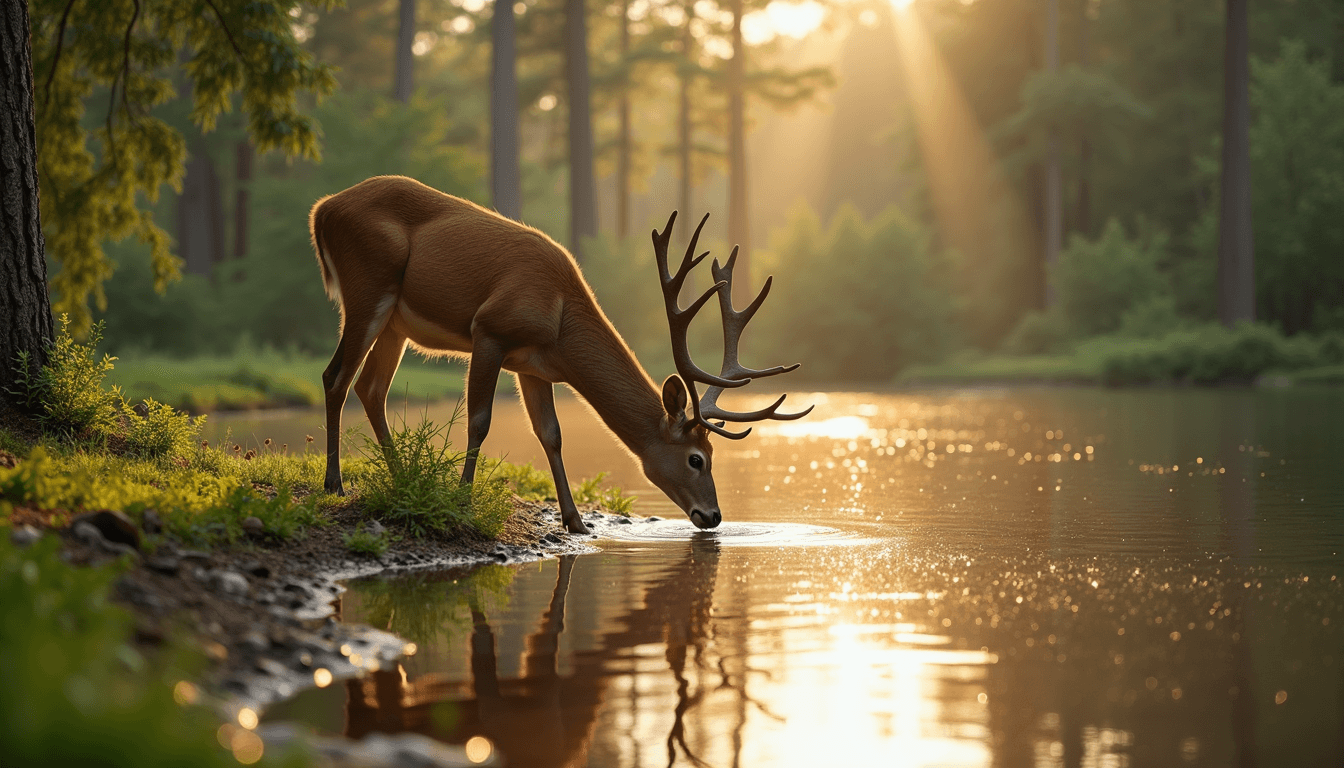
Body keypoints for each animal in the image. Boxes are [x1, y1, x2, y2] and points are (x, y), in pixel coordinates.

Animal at [309, 175, 810, 534]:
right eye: (696, 458)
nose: (714, 516)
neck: (560, 320)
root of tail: (322, 209)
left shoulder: (534, 368)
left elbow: (551, 434)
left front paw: (576, 521)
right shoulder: (489, 330)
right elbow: (480, 420)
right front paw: (463, 501)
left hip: (394, 323)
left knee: (370, 387)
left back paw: (397, 477)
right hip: (368, 283)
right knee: (335, 376)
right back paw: (334, 483)